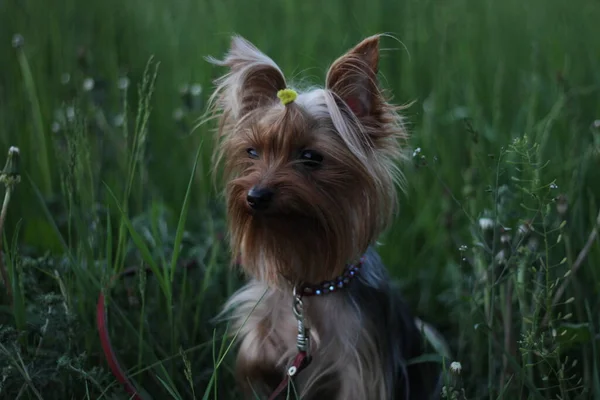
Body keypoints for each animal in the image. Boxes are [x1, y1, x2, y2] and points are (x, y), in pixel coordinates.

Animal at [207, 35, 440, 400]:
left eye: (311, 157)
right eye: (252, 152)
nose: (255, 196)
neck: (310, 290)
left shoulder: (360, 368)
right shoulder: (261, 346)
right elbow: (257, 363)